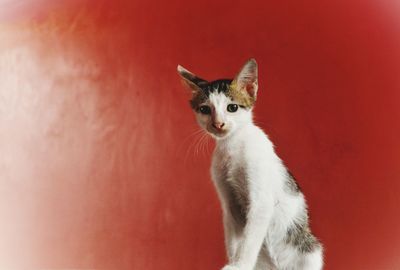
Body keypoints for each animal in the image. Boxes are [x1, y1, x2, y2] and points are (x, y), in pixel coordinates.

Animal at [177, 59, 324, 270]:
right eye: (205, 109)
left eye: (232, 108)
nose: (218, 124)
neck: (232, 146)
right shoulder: (230, 205)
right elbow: (234, 239)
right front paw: (234, 261)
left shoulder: (261, 201)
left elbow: (250, 238)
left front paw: (238, 265)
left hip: (310, 250)